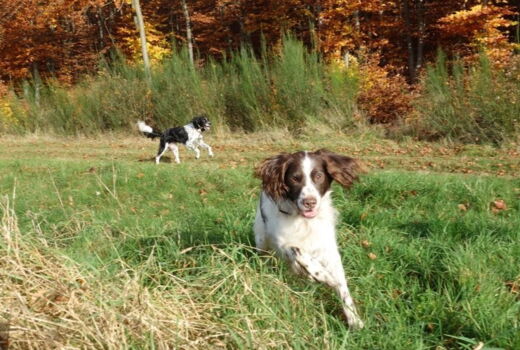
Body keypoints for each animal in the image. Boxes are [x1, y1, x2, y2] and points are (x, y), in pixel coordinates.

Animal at [254, 149, 364, 330]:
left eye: (318, 176)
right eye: (294, 178)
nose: (309, 202)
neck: (305, 221)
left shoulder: (329, 250)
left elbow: (342, 286)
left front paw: (354, 319)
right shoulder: (283, 243)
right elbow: (299, 252)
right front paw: (324, 277)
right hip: (261, 239)